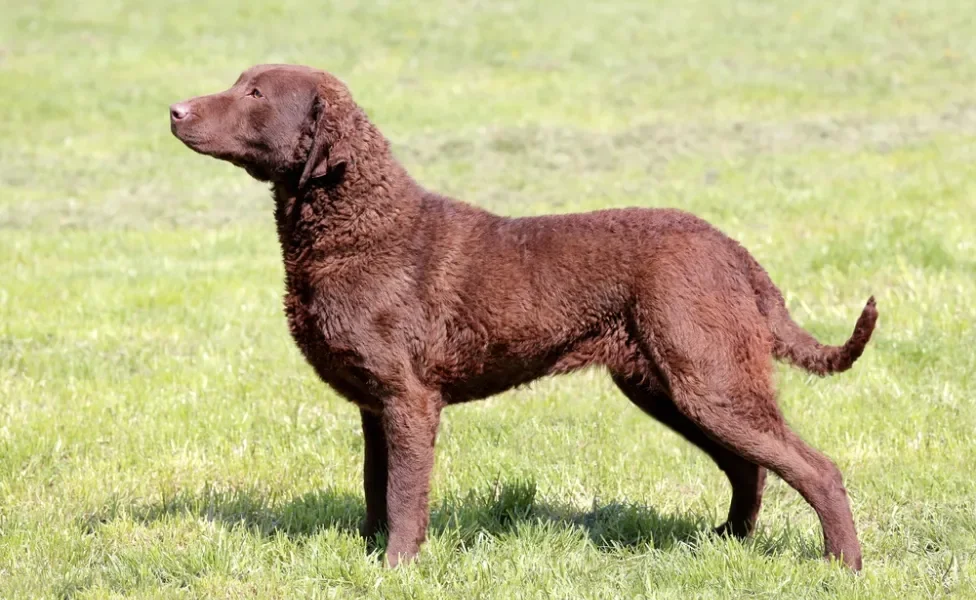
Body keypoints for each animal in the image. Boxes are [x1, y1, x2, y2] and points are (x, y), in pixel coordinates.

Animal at [172, 65, 880, 572]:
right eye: (238, 81)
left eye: (255, 92)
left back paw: (841, 565)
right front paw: (367, 555)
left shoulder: (409, 398)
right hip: (670, 386)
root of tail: (734, 250)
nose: (174, 109)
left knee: (815, 468)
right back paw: (726, 542)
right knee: (749, 467)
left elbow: (405, 496)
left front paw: (397, 568)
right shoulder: (375, 403)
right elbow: (375, 488)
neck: (360, 227)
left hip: (708, 380)